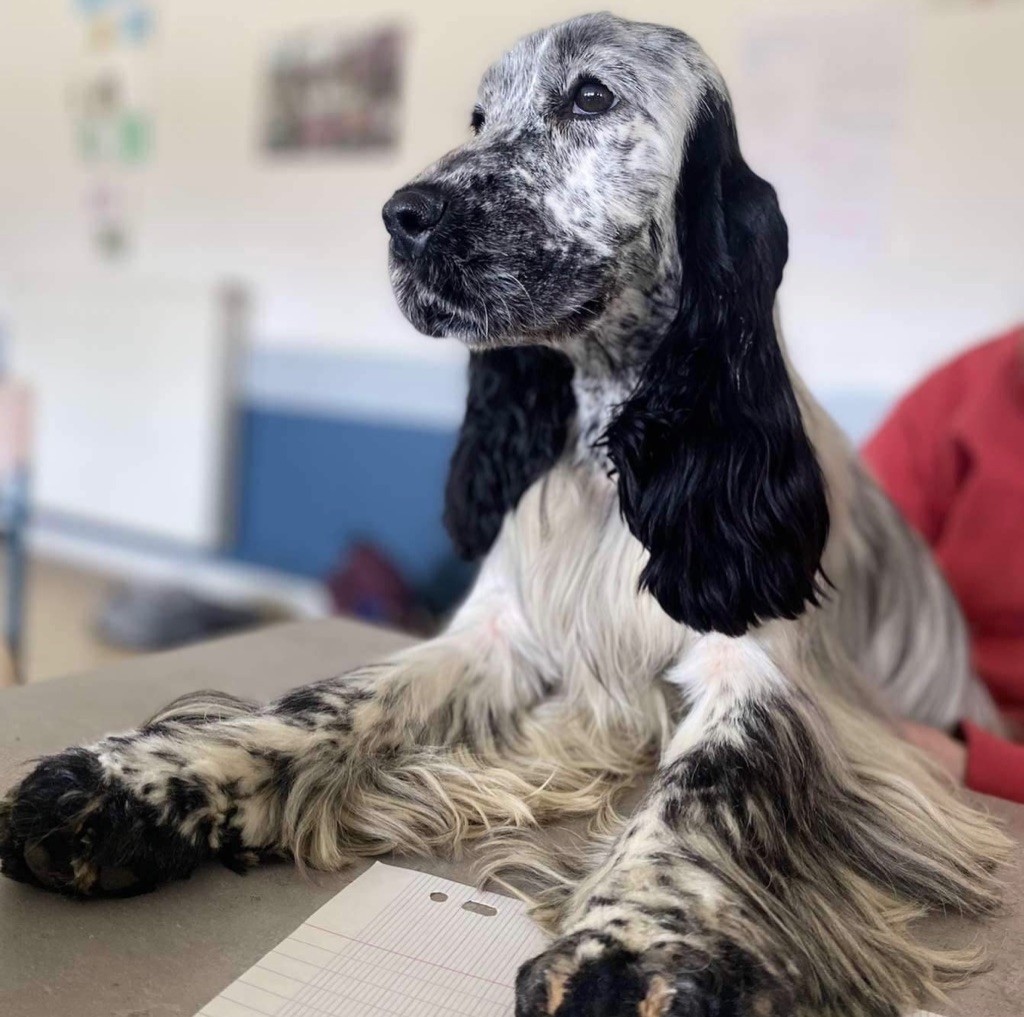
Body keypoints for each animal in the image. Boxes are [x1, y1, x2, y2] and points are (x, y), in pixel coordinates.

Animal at [0, 15, 1007, 1015]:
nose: (403, 215)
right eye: (480, 116)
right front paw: (137, 785)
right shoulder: (494, 636)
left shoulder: (768, 674)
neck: (610, 450)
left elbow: (710, 784)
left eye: (591, 95)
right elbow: (338, 698)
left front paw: (631, 949)